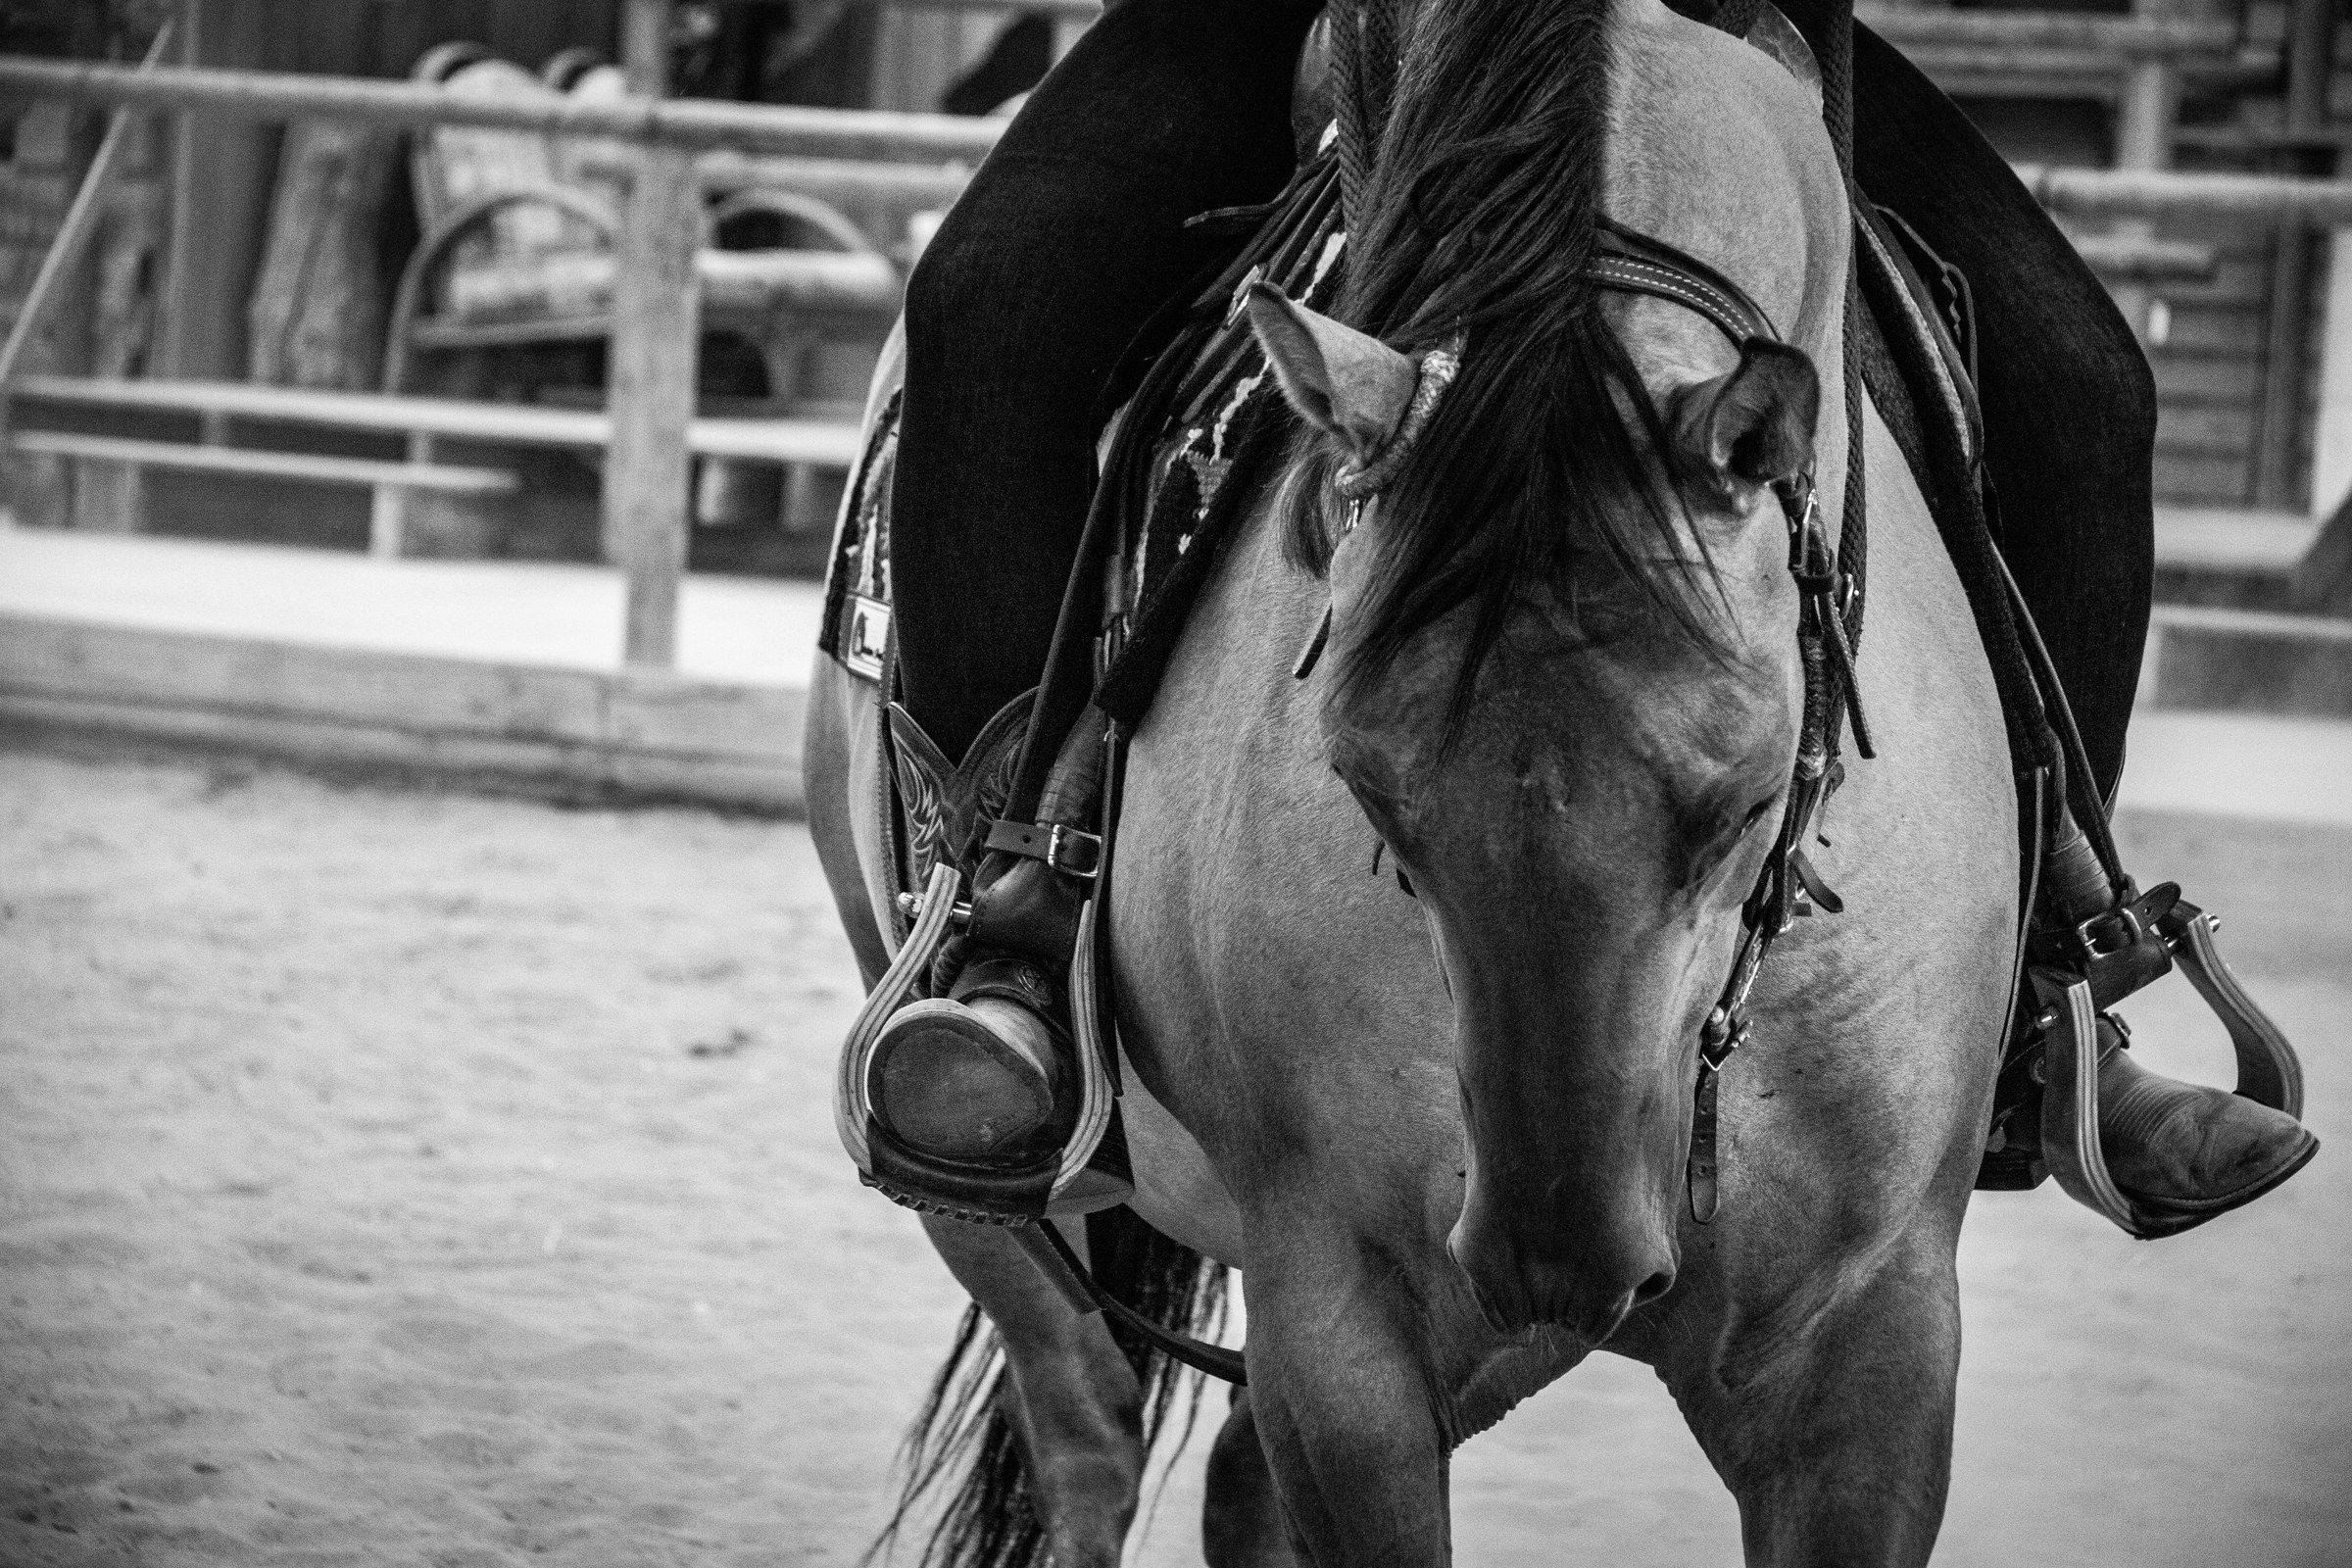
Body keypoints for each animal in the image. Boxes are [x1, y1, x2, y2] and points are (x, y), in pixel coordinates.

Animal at [805, 0, 2021, 1559]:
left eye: (1747, 805)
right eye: (1366, 790)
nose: (1558, 1249)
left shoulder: (1873, 1344)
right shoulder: (1348, 1319)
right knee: (1085, 1425)